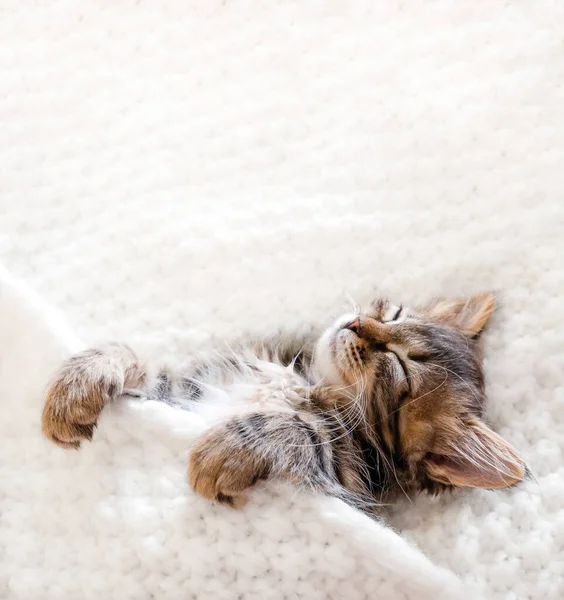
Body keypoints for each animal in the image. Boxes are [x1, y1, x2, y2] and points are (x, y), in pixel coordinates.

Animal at [43, 292, 524, 508]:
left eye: (400, 368)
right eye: (394, 315)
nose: (355, 323)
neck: (308, 383)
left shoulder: (343, 481)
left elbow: (294, 427)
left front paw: (227, 448)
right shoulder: (187, 392)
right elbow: (141, 364)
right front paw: (80, 380)